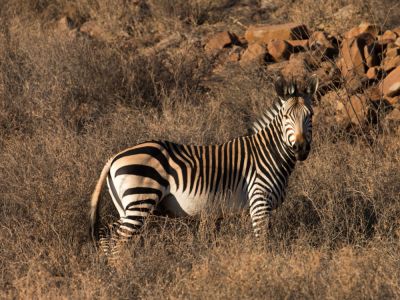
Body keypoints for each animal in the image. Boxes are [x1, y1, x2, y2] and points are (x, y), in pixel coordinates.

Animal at [90, 74, 318, 253]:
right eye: (286, 116)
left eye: (311, 115)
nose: (300, 148)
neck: (269, 154)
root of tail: (114, 157)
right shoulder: (259, 201)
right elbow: (263, 242)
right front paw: (264, 266)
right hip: (140, 200)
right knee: (118, 241)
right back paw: (123, 273)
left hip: (126, 206)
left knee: (107, 235)